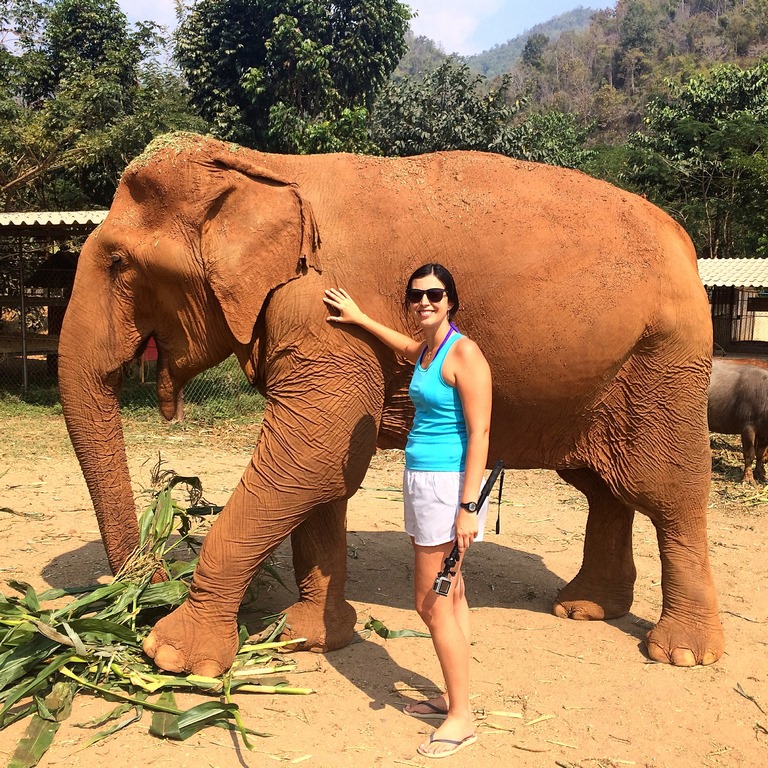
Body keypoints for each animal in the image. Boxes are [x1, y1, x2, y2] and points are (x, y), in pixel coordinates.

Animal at [58, 131, 723, 676]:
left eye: (118, 263)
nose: (147, 582)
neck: (262, 166)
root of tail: (685, 242)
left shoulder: (320, 314)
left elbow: (310, 458)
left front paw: (173, 655)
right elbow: (320, 472)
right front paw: (311, 638)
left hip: (668, 361)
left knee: (668, 491)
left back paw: (682, 653)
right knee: (603, 487)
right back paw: (586, 608)